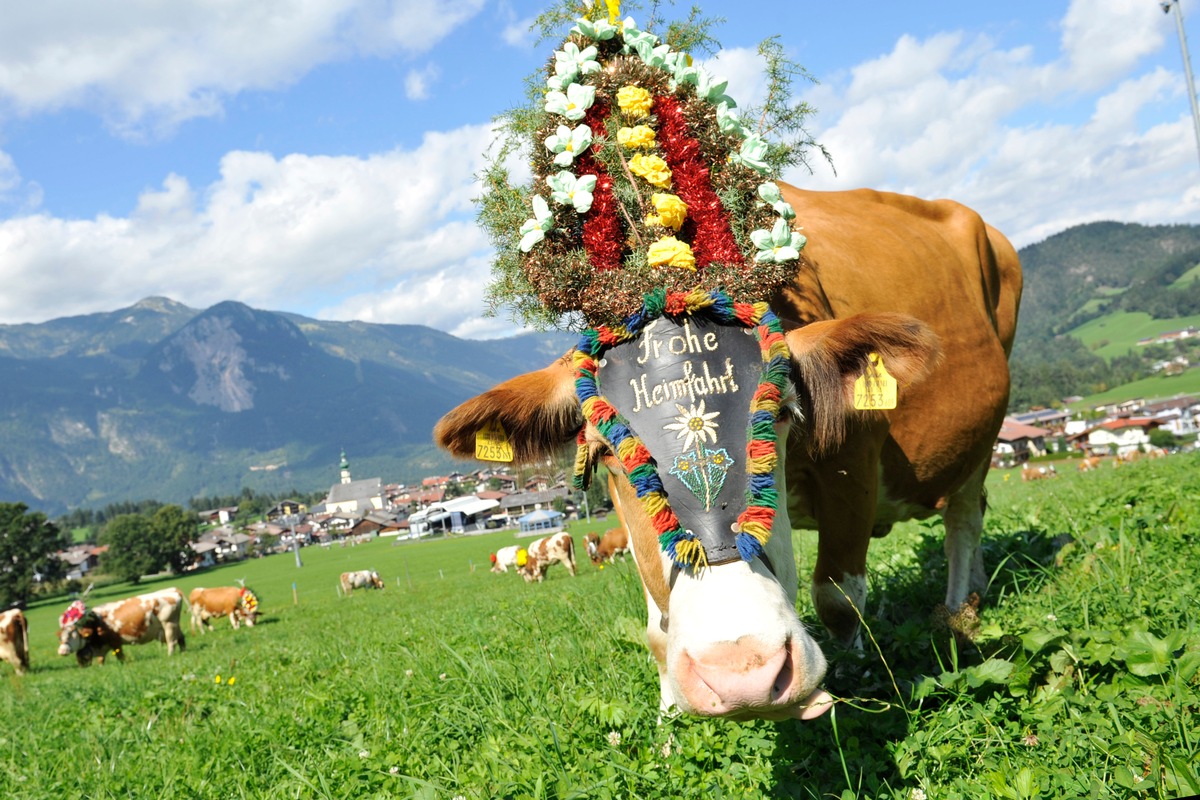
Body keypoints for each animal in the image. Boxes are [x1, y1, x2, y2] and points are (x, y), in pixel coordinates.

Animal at [57, 587, 187, 671]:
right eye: (60, 637)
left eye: (70, 634)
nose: (61, 651)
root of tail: (171, 590)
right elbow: (101, 659)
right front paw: (101, 667)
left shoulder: (115, 641)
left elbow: (120, 656)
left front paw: (123, 664)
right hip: (174, 625)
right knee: (181, 638)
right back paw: (183, 652)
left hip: (169, 624)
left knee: (172, 641)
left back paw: (169, 656)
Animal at [436, 4, 1017, 719]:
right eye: (606, 452)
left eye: (787, 413)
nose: (742, 669)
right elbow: (658, 628)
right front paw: (668, 717)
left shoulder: (855, 455)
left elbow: (837, 594)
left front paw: (844, 688)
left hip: (984, 430)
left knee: (965, 510)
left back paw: (958, 612)